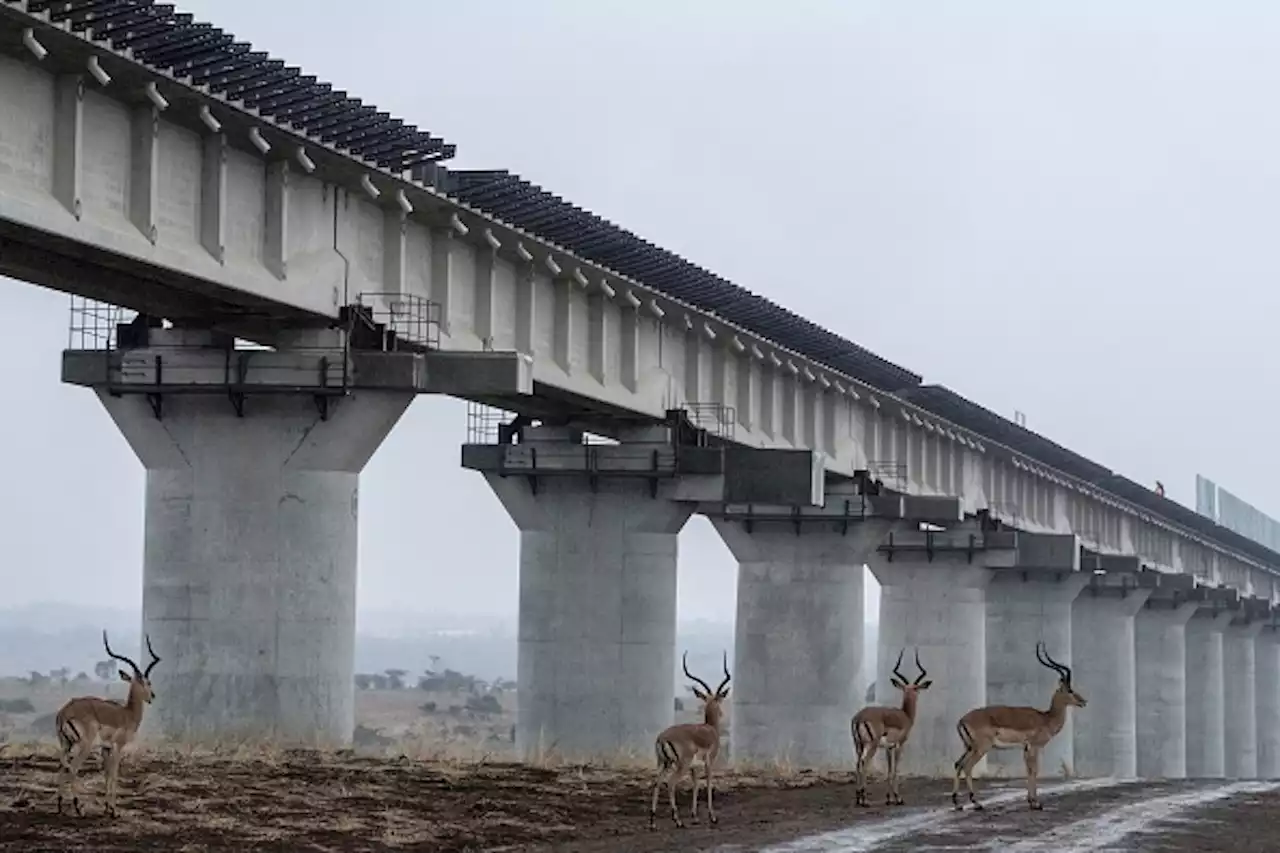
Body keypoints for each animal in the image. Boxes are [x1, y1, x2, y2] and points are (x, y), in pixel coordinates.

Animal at [56, 627, 161, 814]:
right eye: (146, 682)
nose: (152, 696)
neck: (127, 713)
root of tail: (65, 712)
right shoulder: (118, 746)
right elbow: (114, 774)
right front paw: (113, 810)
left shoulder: (105, 748)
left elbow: (106, 775)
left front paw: (106, 807)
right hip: (84, 746)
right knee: (73, 768)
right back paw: (77, 806)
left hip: (65, 744)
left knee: (63, 766)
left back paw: (60, 805)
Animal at [650, 648, 732, 824]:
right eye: (719, 700)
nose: (722, 713)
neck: (710, 729)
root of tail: (662, 737)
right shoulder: (709, 762)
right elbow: (708, 783)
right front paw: (712, 816)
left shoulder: (695, 768)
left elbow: (695, 785)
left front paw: (695, 816)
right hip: (681, 764)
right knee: (670, 783)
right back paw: (677, 820)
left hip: (664, 763)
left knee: (657, 783)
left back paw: (653, 821)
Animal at [849, 645, 931, 804]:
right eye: (915, 688)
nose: (916, 693)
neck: (905, 715)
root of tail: (859, 717)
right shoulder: (899, 745)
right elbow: (895, 770)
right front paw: (898, 798)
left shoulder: (888, 748)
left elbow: (888, 770)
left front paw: (888, 798)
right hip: (872, 745)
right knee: (865, 763)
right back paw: (864, 800)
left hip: (858, 745)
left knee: (857, 764)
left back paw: (858, 798)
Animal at [952, 637, 1090, 809]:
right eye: (1070, 690)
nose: (1083, 702)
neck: (1046, 718)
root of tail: (962, 720)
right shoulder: (1034, 746)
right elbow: (1034, 770)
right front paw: (1036, 803)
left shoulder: (1025, 748)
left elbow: (1028, 771)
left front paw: (1031, 801)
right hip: (981, 747)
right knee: (967, 766)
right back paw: (976, 803)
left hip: (969, 747)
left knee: (958, 764)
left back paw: (957, 803)